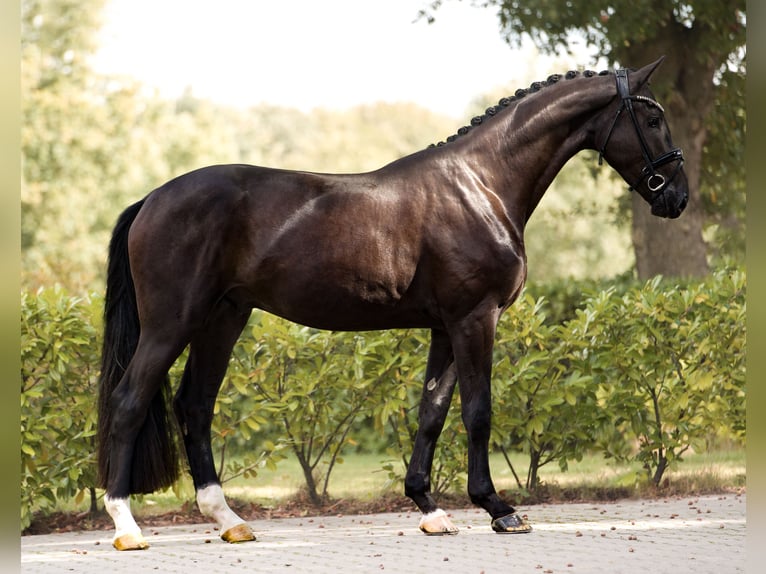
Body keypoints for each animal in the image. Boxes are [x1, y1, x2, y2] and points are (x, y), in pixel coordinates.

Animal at [96, 57, 687, 550]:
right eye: (652, 116)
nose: (676, 197)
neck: (481, 185)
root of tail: (151, 199)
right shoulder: (476, 319)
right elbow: (477, 412)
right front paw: (498, 508)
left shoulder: (447, 326)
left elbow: (432, 412)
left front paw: (430, 508)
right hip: (172, 323)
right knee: (129, 402)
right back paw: (127, 527)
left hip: (223, 319)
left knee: (195, 406)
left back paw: (230, 521)